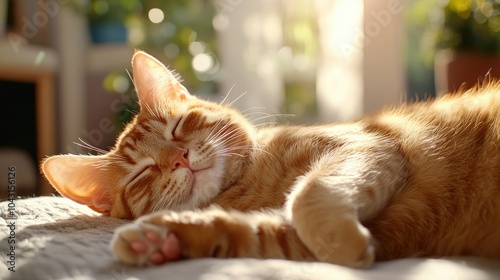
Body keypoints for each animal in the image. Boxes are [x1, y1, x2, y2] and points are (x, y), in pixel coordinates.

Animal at [41, 49, 498, 266]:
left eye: (178, 127)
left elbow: (310, 196)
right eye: (142, 173)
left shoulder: (366, 146)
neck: (251, 183)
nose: (180, 158)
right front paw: (162, 239)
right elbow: (249, 231)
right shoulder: (298, 240)